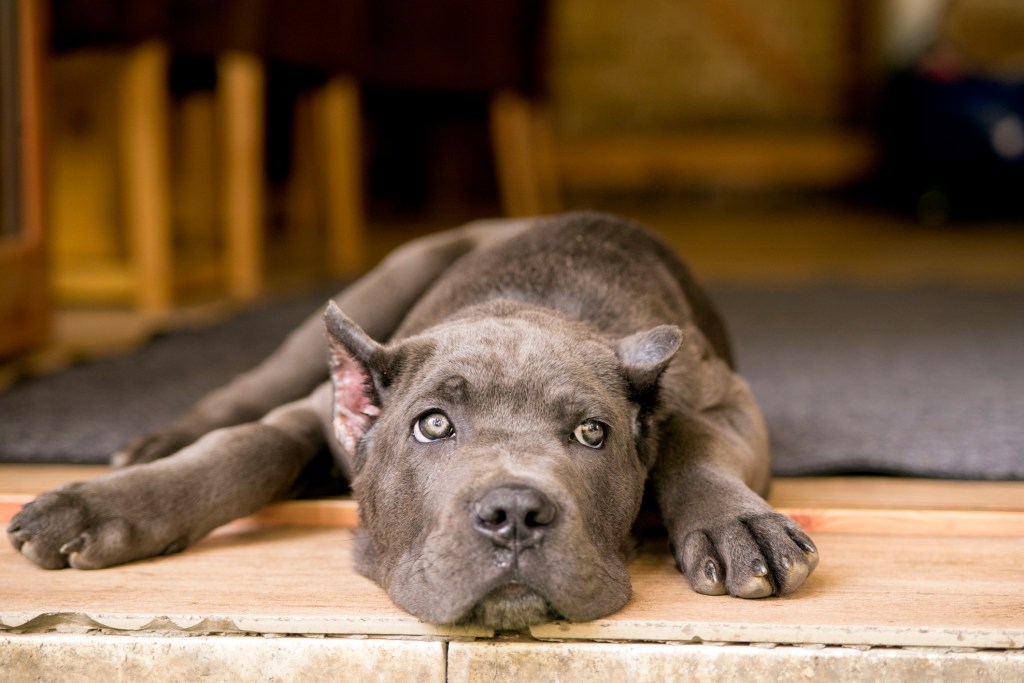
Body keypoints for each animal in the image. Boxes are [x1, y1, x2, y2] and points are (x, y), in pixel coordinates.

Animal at [4, 211, 815, 630]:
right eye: (431, 425)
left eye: (593, 433)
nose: (514, 512)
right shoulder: (317, 412)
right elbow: (245, 446)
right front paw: (101, 506)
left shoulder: (725, 397)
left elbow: (691, 438)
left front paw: (739, 524)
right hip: (376, 287)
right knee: (246, 389)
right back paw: (154, 442)